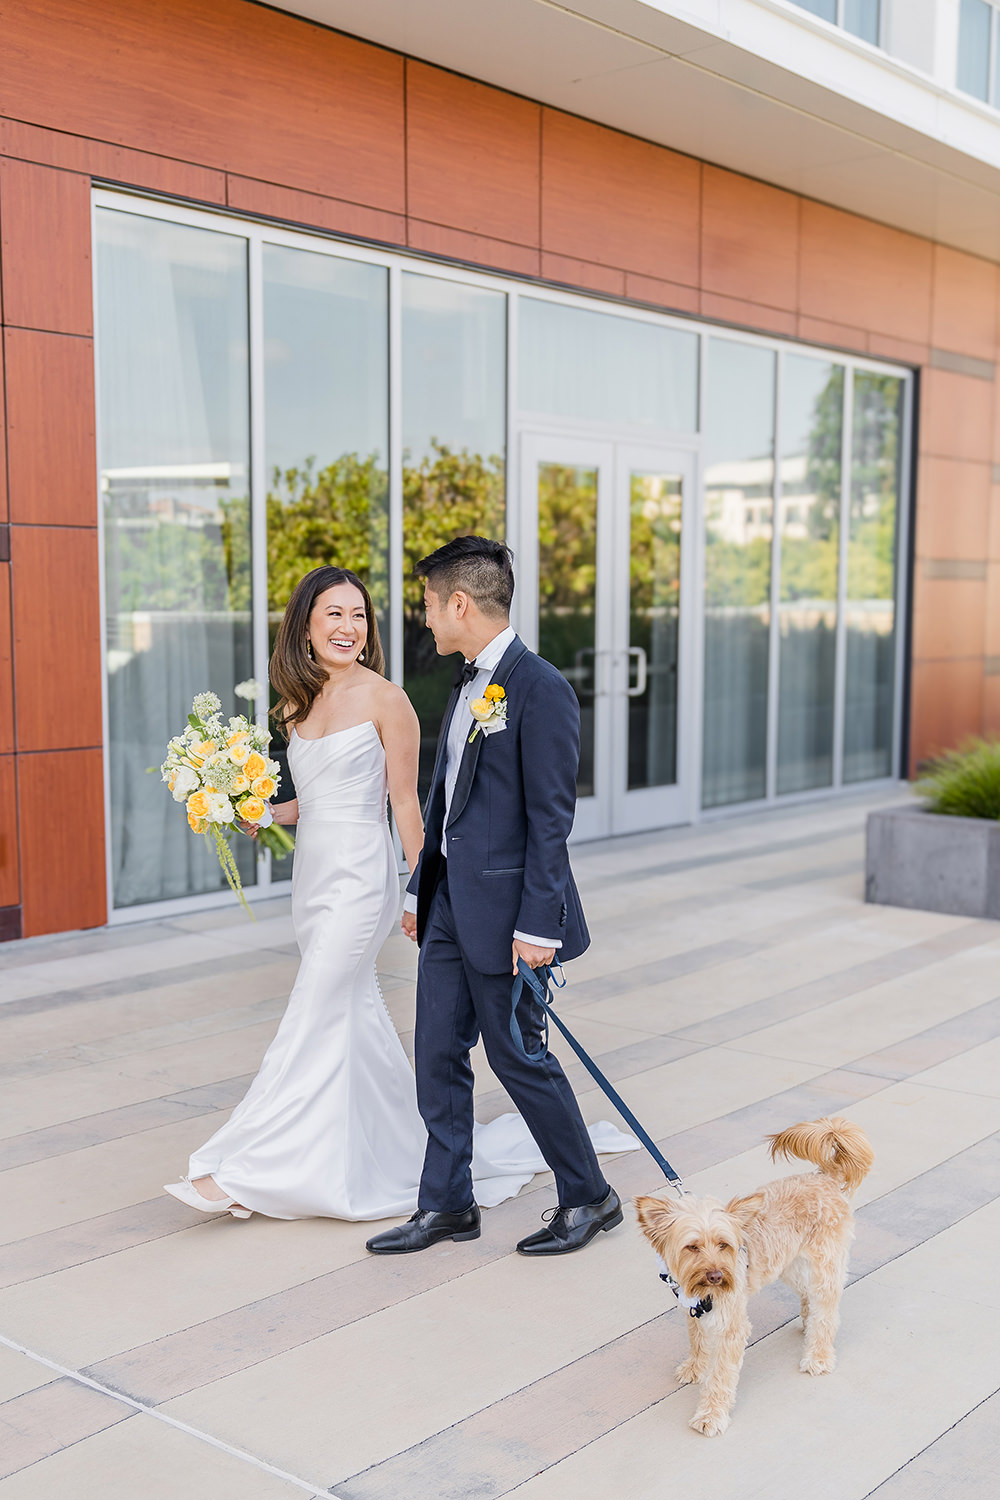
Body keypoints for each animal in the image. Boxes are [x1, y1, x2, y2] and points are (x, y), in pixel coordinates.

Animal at [638, 1122, 869, 1434]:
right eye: (692, 1247)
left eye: (724, 1244)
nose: (716, 1275)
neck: (702, 1290)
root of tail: (825, 1178)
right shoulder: (693, 1308)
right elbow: (697, 1340)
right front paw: (695, 1367)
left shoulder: (730, 1327)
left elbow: (720, 1375)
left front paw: (711, 1414)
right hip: (789, 1265)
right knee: (808, 1295)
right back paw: (807, 1322)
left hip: (824, 1268)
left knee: (826, 1313)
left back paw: (818, 1355)